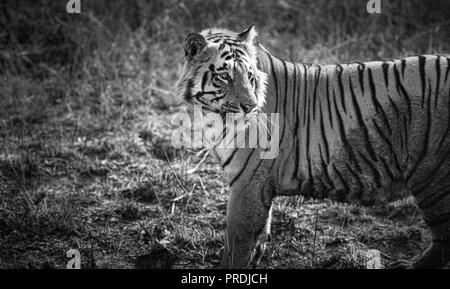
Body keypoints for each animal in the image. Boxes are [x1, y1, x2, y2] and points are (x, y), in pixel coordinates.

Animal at [175, 24, 450, 268]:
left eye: (249, 77)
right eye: (224, 76)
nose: (250, 107)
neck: (211, 116)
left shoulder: (247, 185)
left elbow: (236, 248)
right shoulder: (257, 186)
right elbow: (258, 238)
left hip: (433, 179)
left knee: (443, 240)